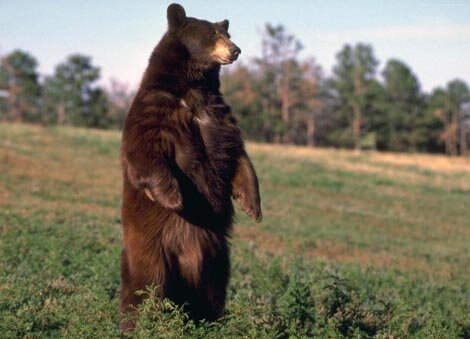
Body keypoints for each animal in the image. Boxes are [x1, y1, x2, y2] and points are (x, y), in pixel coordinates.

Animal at [118, 2, 260, 332]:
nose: (236, 50)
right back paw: (138, 323)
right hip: (152, 247)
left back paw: (212, 322)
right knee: (147, 284)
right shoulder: (156, 109)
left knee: (211, 290)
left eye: (227, 33)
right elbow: (145, 151)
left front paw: (253, 206)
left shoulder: (219, 115)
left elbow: (237, 154)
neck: (194, 88)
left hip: (217, 255)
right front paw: (173, 197)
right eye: (212, 34)